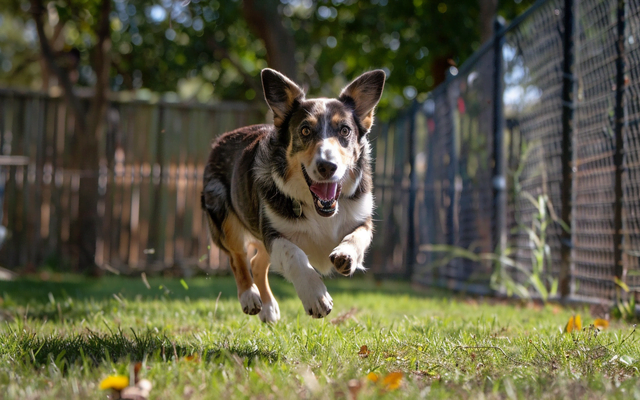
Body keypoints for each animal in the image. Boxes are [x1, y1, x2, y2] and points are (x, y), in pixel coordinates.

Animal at [202, 68, 384, 322]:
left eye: (345, 130)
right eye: (305, 130)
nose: (327, 166)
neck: (320, 211)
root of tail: (221, 139)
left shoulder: (362, 219)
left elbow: (357, 237)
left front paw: (345, 254)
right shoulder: (273, 234)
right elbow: (295, 256)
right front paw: (316, 297)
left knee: (257, 263)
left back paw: (269, 309)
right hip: (222, 211)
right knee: (237, 256)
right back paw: (250, 297)